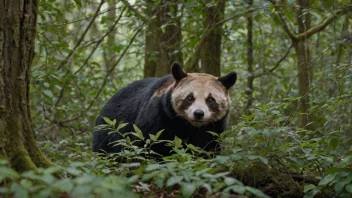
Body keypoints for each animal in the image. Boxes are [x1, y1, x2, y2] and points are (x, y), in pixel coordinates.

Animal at [93, 62, 236, 156]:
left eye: (210, 100)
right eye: (190, 98)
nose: (198, 114)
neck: (189, 125)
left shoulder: (214, 126)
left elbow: (206, 147)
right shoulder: (161, 114)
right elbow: (145, 142)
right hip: (108, 128)